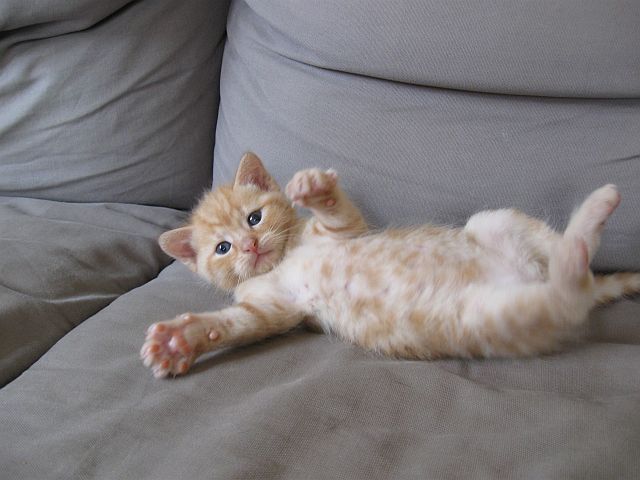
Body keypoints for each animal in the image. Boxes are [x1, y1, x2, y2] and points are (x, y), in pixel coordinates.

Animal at [141, 152, 640, 378]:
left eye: (254, 218)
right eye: (222, 249)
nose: (249, 246)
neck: (283, 259)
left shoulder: (346, 231)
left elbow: (339, 212)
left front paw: (316, 188)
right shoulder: (273, 308)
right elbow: (236, 324)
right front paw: (181, 341)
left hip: (493, 223)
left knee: (570, 270)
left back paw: (592, 214)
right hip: (494, 317)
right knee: (567, 291)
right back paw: (587, 227)